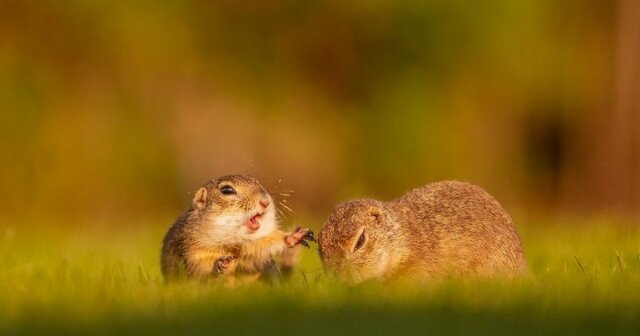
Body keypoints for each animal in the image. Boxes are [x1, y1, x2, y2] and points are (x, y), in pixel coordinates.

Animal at [158, 175, 312, 282]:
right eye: (227, 190)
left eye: (257, 182)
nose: (265, 201)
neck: (233, 243)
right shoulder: (191, 247)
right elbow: (198, 265)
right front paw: (220, 264)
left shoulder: (250, 249)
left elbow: (262, 248)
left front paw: (293, 236)